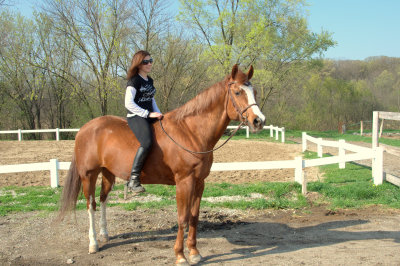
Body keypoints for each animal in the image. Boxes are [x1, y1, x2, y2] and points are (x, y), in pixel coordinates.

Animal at [57, 65, 266, 266]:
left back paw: (104, 234)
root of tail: (85, 129)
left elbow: (194, 217)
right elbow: (182, 218)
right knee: (90, 205)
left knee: (102, 200)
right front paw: (180, 256)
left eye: (254, 91)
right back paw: (93, 243)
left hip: (108, 173)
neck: (191, 132)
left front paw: (194, 253)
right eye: (238, 92)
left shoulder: (199, 183)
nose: (259, 121)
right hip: (88, 175)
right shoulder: (184, 182)